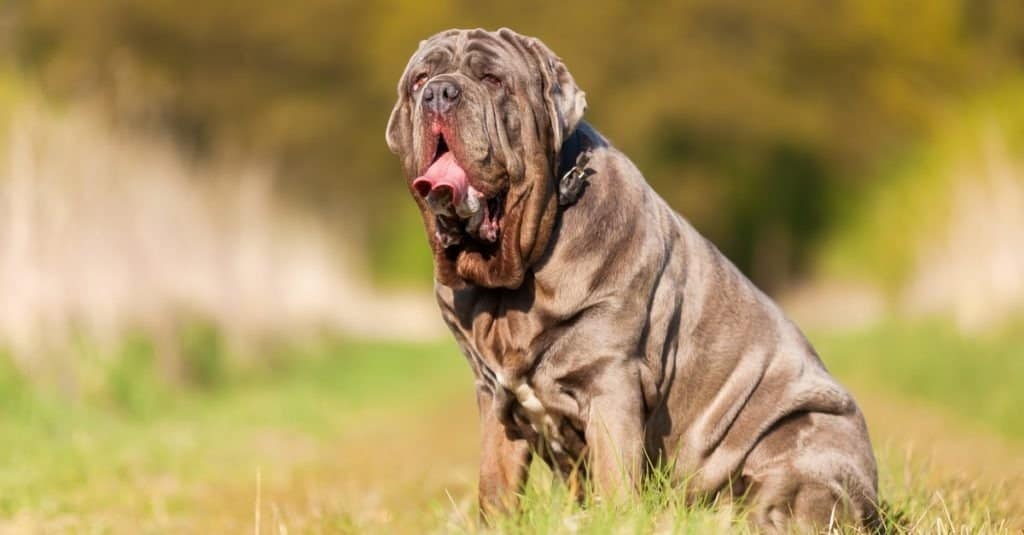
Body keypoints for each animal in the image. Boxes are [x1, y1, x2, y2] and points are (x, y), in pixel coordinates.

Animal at [385, 27, 880, 524]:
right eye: (419, 80)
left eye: (492, 79)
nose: (439, 93)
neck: (513, 279)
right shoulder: (494, 398)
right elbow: (496, 487)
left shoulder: (611, 382)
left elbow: (614, 477)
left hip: (802, 443)